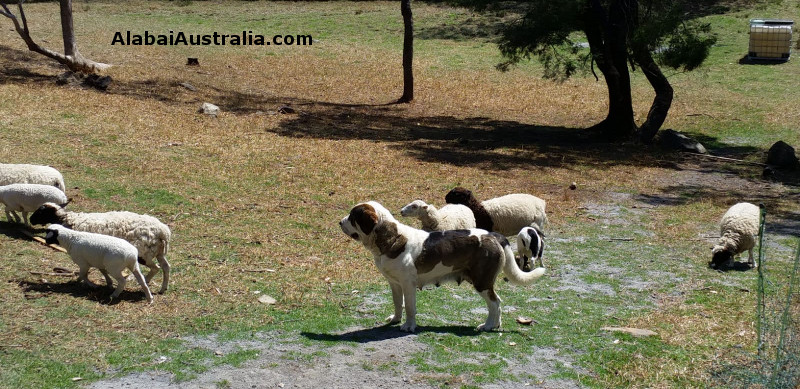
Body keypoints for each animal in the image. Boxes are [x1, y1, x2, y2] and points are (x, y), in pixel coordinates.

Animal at [30, 202, 171, 292]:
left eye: (41, 211)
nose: (31, 220)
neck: (70, 221)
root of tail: (163, 231)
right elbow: (101, 269)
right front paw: (106, 282)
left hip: (143, 253)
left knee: (156, 268)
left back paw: (145, 281)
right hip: (157, 252)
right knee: (165, 267)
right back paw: (163, 288)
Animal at [338, 200, 544, 330]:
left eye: (352, 217)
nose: (340, 222)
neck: (392, 238)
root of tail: (494, 235)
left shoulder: (408, 284)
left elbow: (410, 306)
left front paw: (408, 326)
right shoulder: (395, 283)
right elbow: (398, 303)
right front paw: (395, 319)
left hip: (481, 281)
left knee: (495, 303)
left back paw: (487, 326)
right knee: (498, 301)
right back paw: (496, 325)